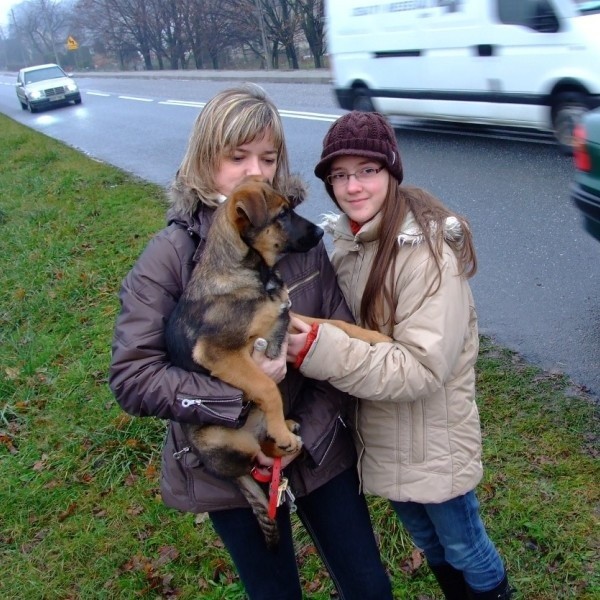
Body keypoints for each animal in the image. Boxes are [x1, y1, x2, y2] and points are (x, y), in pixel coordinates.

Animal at [166, 175, 390, 548]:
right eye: (282, 215)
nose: (321, 232)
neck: (250, 271)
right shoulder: (219, 352)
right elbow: (267, 386)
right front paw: (281, 426)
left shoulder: (289, 315)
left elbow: (334, 324)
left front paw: (374, 337)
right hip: (224, 439)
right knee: (261, 457)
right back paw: (284, 437)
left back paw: (289, 427)